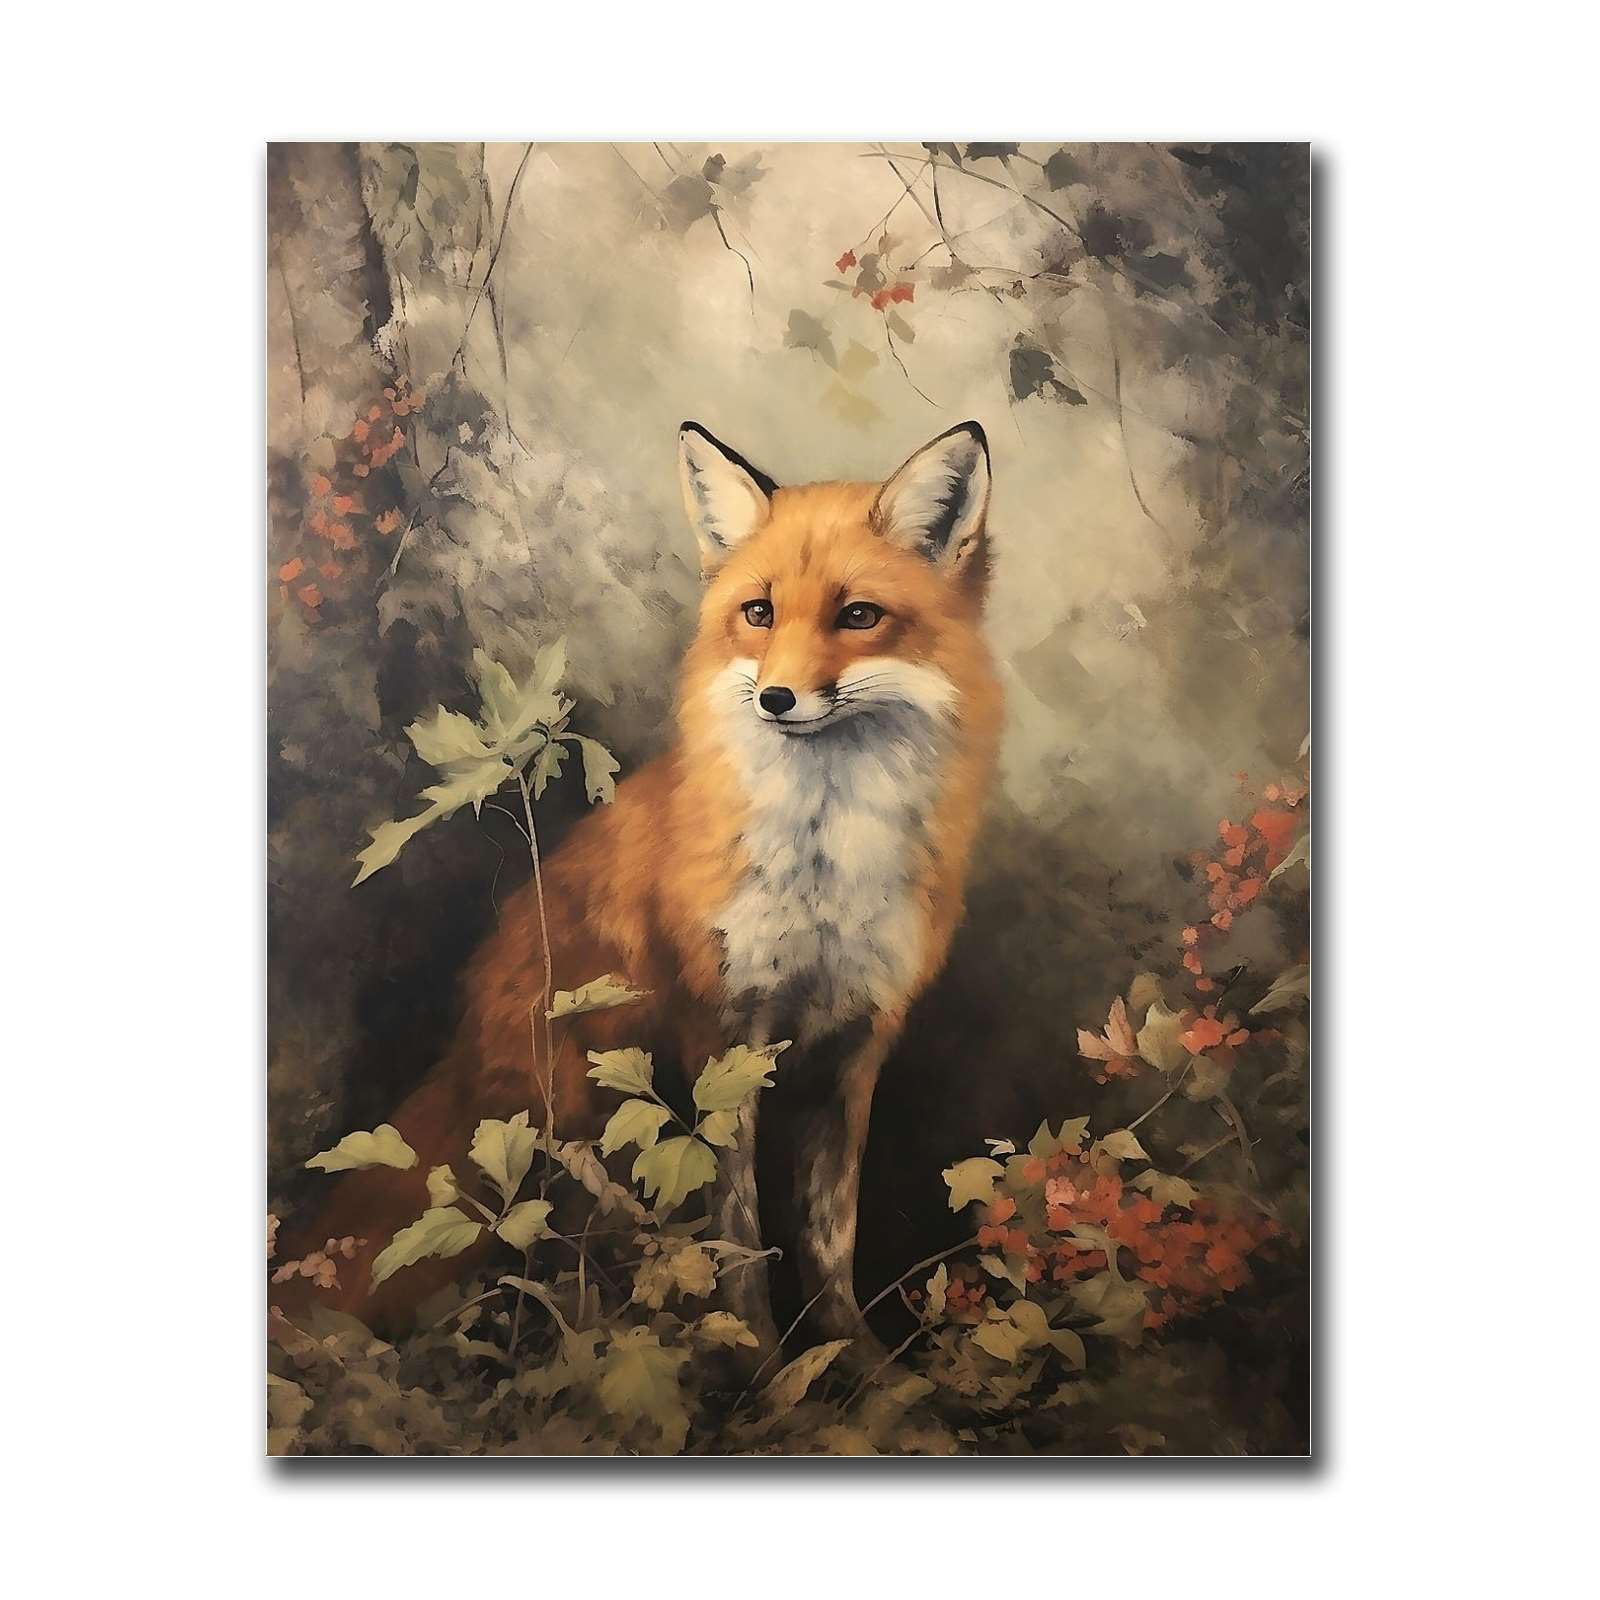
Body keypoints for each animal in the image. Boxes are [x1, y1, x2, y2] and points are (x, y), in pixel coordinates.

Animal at [276, 420, 1001, 1351]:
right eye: (759, 613)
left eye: (860, 617)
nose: (777, 697)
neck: (822, 866)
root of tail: (467, 1051)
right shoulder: (723, 1037)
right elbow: (737, 1237)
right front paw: (759, 1362)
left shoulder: (855, 1044)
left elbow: (829, 1241)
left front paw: (855, 1364)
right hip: (577, 1114)